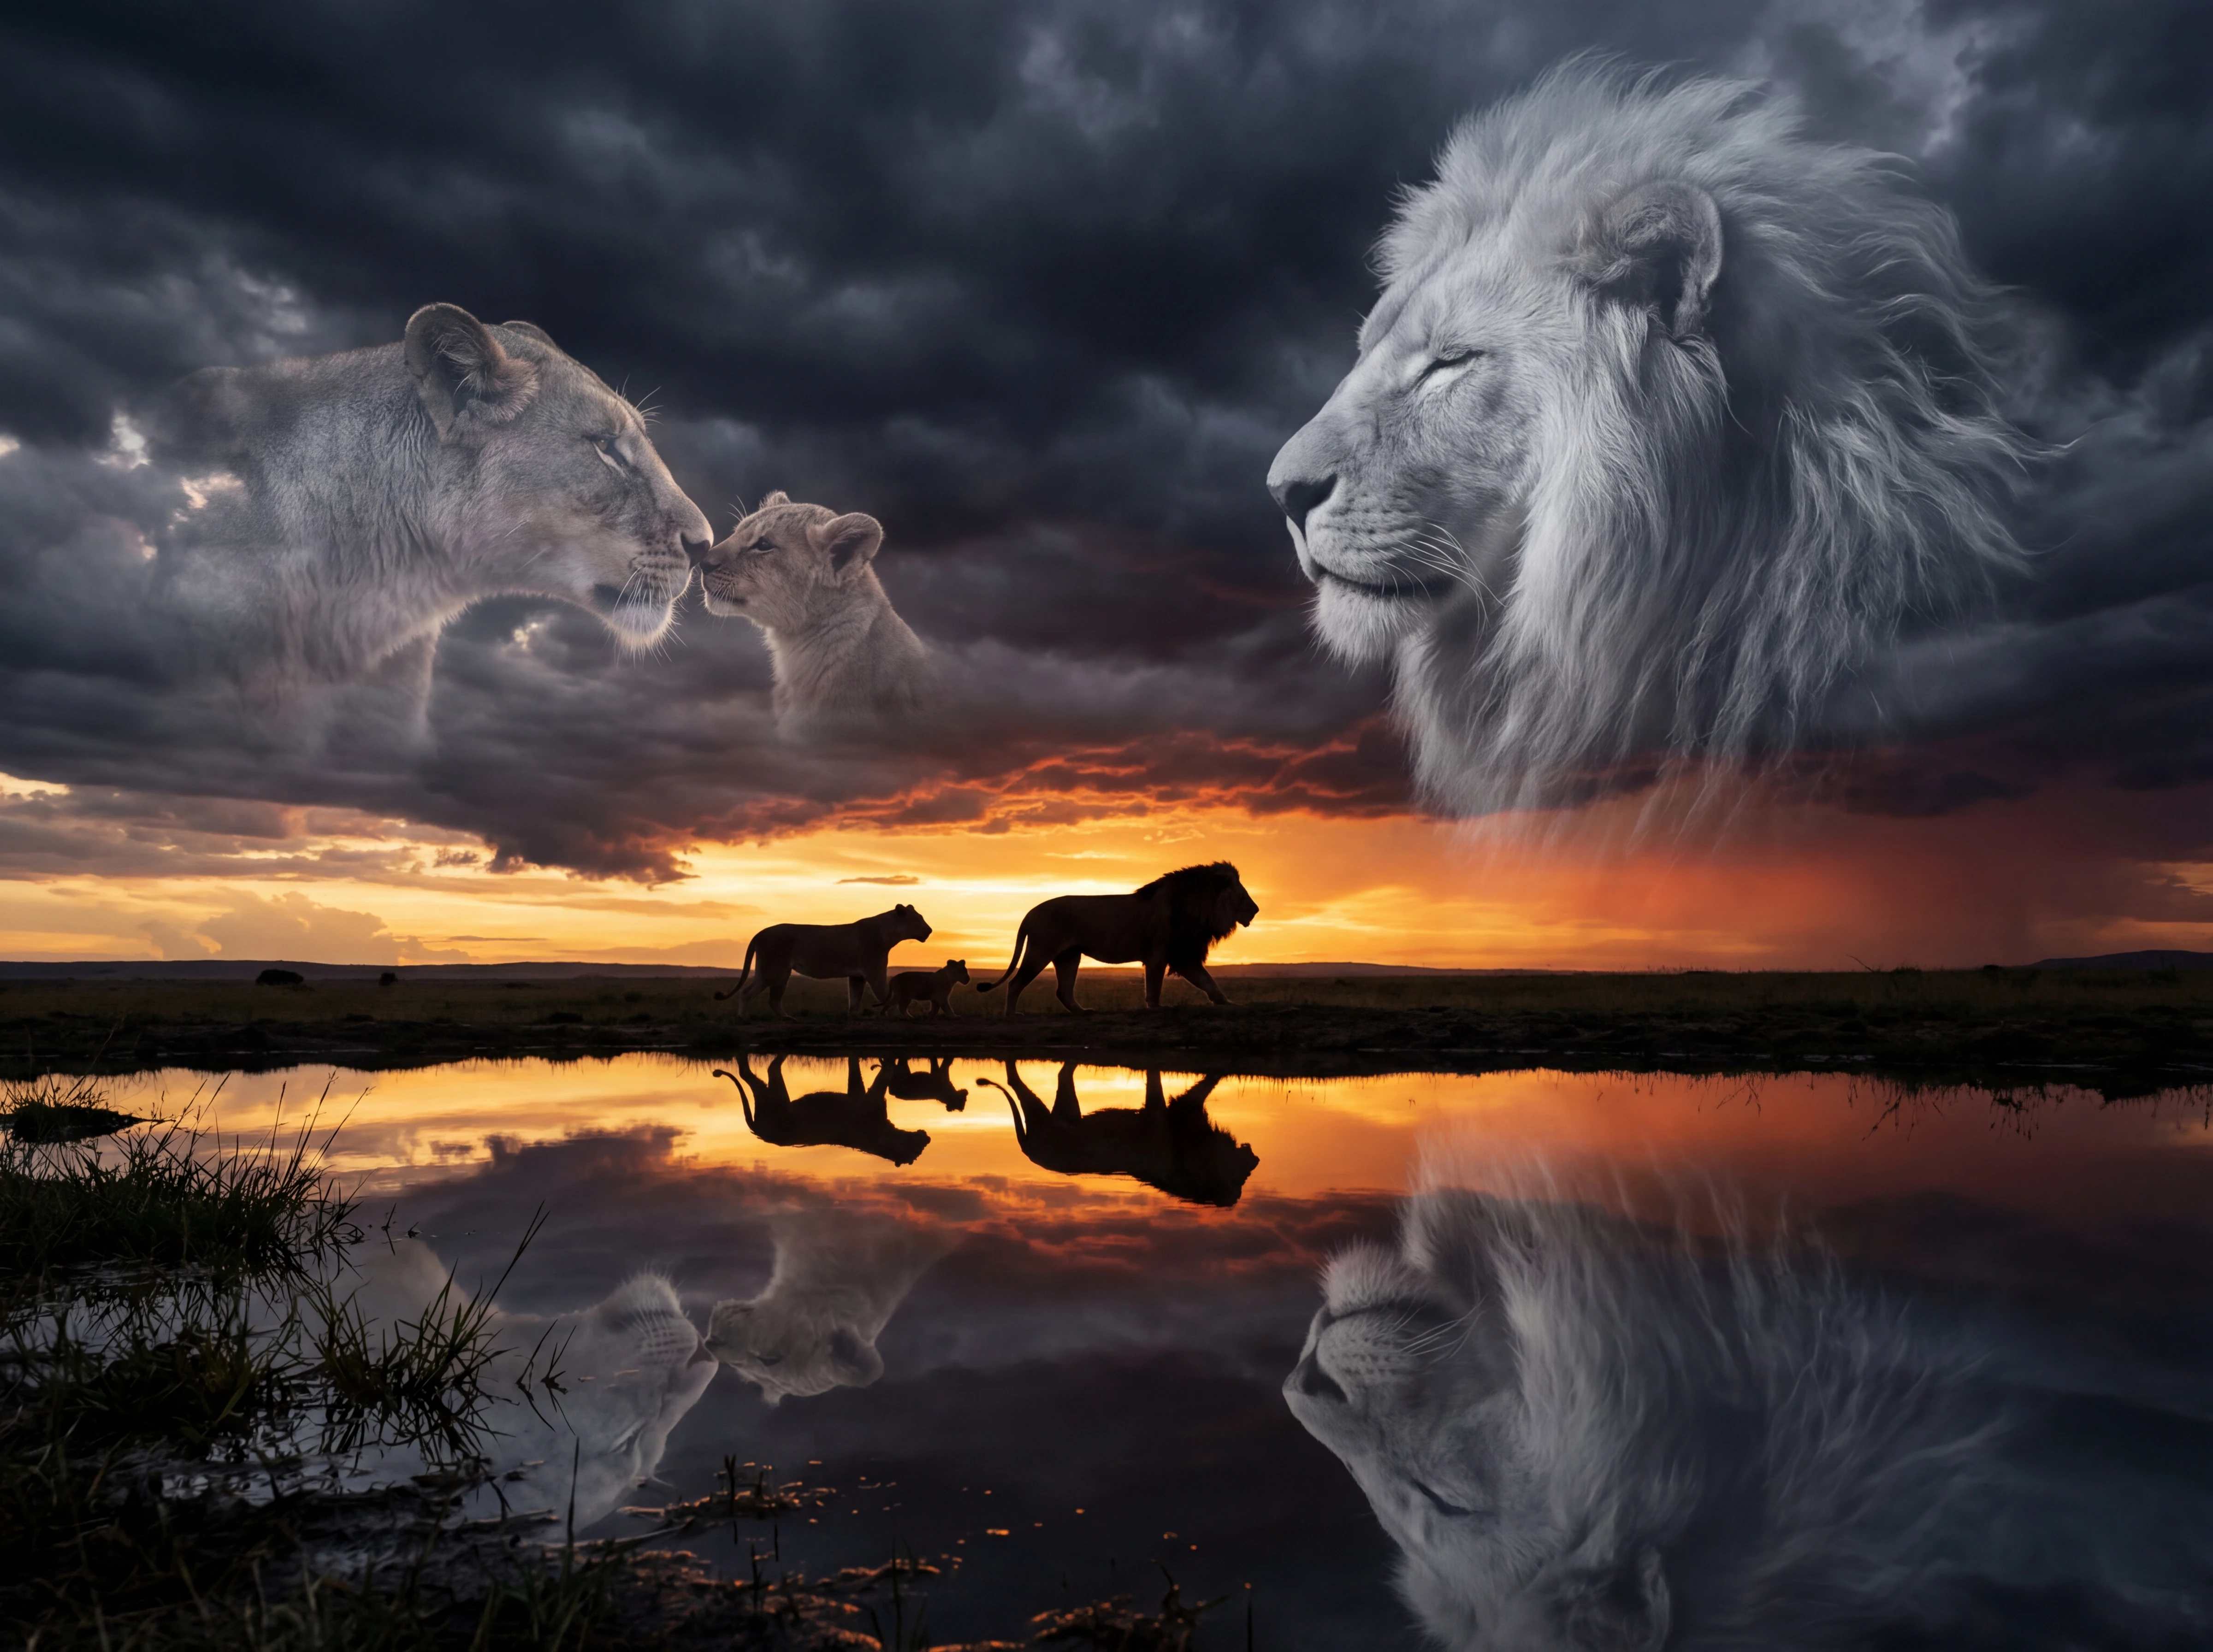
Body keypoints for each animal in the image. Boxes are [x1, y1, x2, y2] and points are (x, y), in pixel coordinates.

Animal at [713, 903, 932, 1017]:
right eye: (917, 920)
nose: (930, 931)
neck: (887, 932)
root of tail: (760, 933)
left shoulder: (857, 976)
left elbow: (855, 999)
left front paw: (853, 1018)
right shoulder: (874, 970)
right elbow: (886, 995)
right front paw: (901, 1015)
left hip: (776, 973)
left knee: (770, 999)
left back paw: (789, 1019)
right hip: (773, 971)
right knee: (749, 993)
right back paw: (744, 1018)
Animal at [884, 960, 969, 1018]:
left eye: (966, 971)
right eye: (960, 971)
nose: (969, 978)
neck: (950, 980)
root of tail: (894, 978)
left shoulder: (936, 999)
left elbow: (935, 1010)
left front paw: (929, 1016)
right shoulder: (942, 998)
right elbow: (948, 1008)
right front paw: (955, 1016)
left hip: (906, 998)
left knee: (902, 1008)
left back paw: (910, 1017)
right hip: (900, 995)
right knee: (890, 1004)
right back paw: (883, 1014)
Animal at [971, 862, 1258, 1015]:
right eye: (1243, 896)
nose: (1256, 910)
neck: (1198, 908)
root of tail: (1030, 913)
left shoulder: (1184, 955)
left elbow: (1210, 983)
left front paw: (1230, 1004)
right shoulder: (1160, 954)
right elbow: (1154, 986)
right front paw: (1156, 1008)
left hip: (1069, 956)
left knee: (1063, 991)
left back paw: (1082, 1012)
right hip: (1041, 951)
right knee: (1015, 983)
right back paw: (1011, 1015)